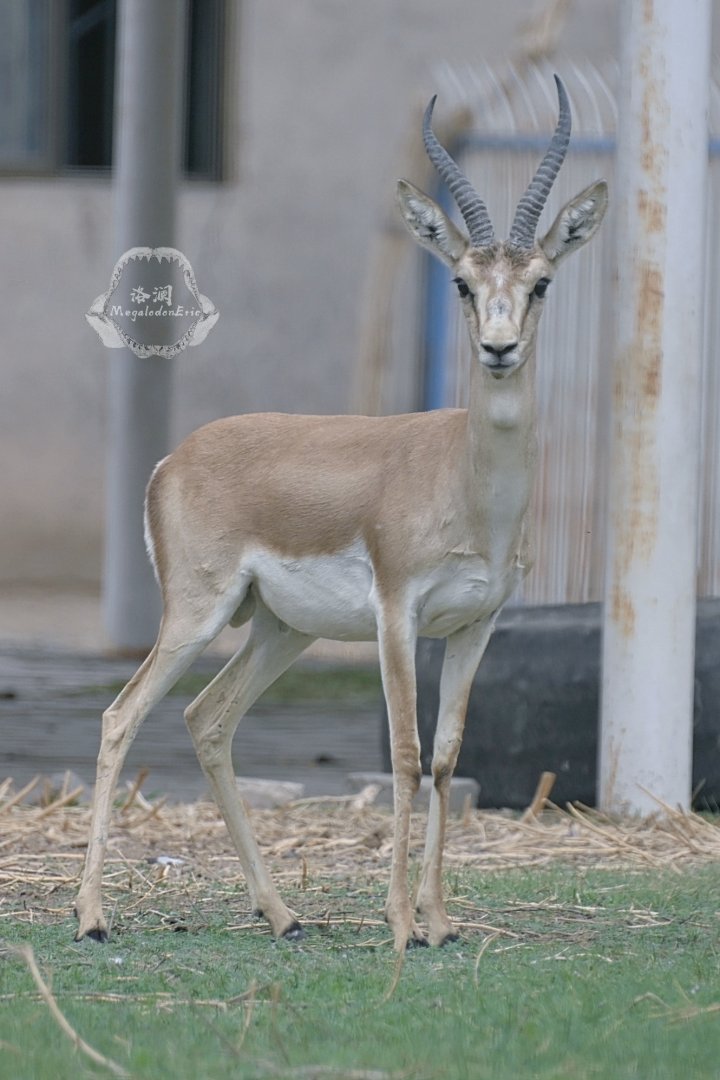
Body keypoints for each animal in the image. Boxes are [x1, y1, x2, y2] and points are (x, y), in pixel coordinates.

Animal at [75, 76, 607, 951]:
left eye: (541, 283)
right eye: (461, 282)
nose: (498, 349)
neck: (468, 487)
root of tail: (173, 459)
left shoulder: (477, 626)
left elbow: (447, 757)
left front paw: (440, 920)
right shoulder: (397, 614)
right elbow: (403, 752)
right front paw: (401, 924)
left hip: (279, 630)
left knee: (207, 718)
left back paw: (283, 914)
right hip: (196, 614)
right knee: (122, 717)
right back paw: (90, 918)